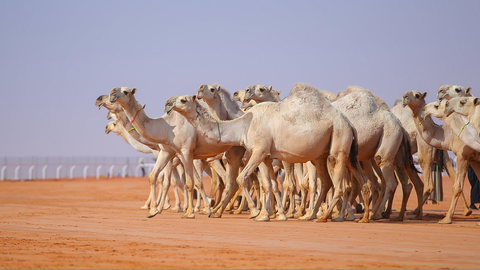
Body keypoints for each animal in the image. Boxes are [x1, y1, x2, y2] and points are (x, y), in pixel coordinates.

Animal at [165, 83, 372, 223]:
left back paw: (326, 216)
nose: (167, 103)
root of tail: (349, 124)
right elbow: (269, 184)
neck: (244, 124)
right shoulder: (265, 156)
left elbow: (242, 178)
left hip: (338, 144)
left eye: (183, 99)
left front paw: (256, 212)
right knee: (354, 181)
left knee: (340, 184)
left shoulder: (258, 151)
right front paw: (267, 215)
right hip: (332, 153)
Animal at [404, 90, 480, 224]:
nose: (405, 97)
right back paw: (467, 211)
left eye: (417, 95)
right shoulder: (473, 159)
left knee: (429, 183)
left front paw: (447, 219)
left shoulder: (463, 155)